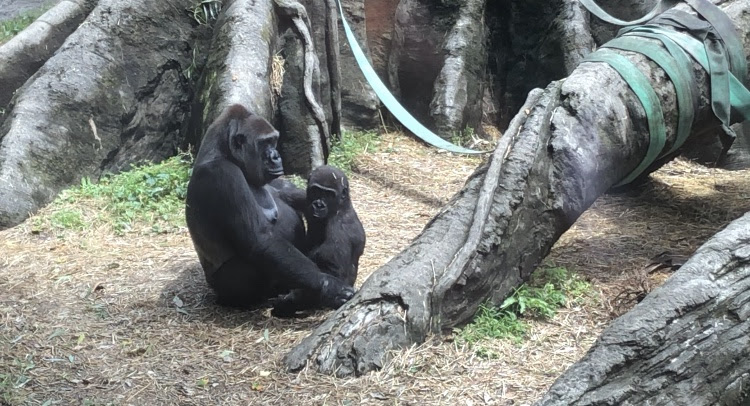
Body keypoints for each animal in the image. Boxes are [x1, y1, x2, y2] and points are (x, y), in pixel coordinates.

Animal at [185, 104, 356, 308]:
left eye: (274, 141)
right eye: (264, 143)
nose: (276, 156)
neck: (224, 151)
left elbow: (297, 197)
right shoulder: (222, 175)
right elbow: (260, 240)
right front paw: (328, 285)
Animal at [274, 165, 368, 318]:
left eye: (329, 194)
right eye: (316, 191)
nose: (319, 205)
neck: (341, 207)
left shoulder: (340, 230)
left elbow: (333, 273)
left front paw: (288, 303)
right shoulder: (304, 198)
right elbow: (282, 194)